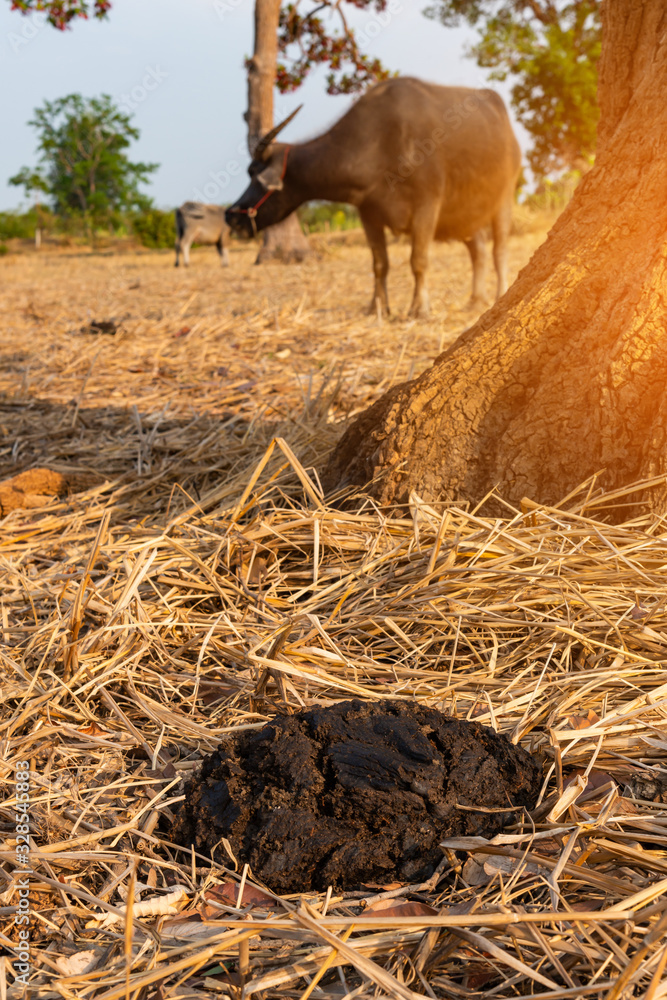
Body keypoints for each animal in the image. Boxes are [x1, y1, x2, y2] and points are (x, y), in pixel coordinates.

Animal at [227, 78, 524, 316]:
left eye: (254, 174)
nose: (231, 215)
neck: (382, 142)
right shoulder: (368, 213)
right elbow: (380, 264)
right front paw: (378, 307)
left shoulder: (428, 203)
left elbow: (418, 260)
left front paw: (419, 308)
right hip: (465, 214)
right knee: (479, 252)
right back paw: (475, 300)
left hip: (504, 198)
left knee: (499, 250)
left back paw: (499, 295)